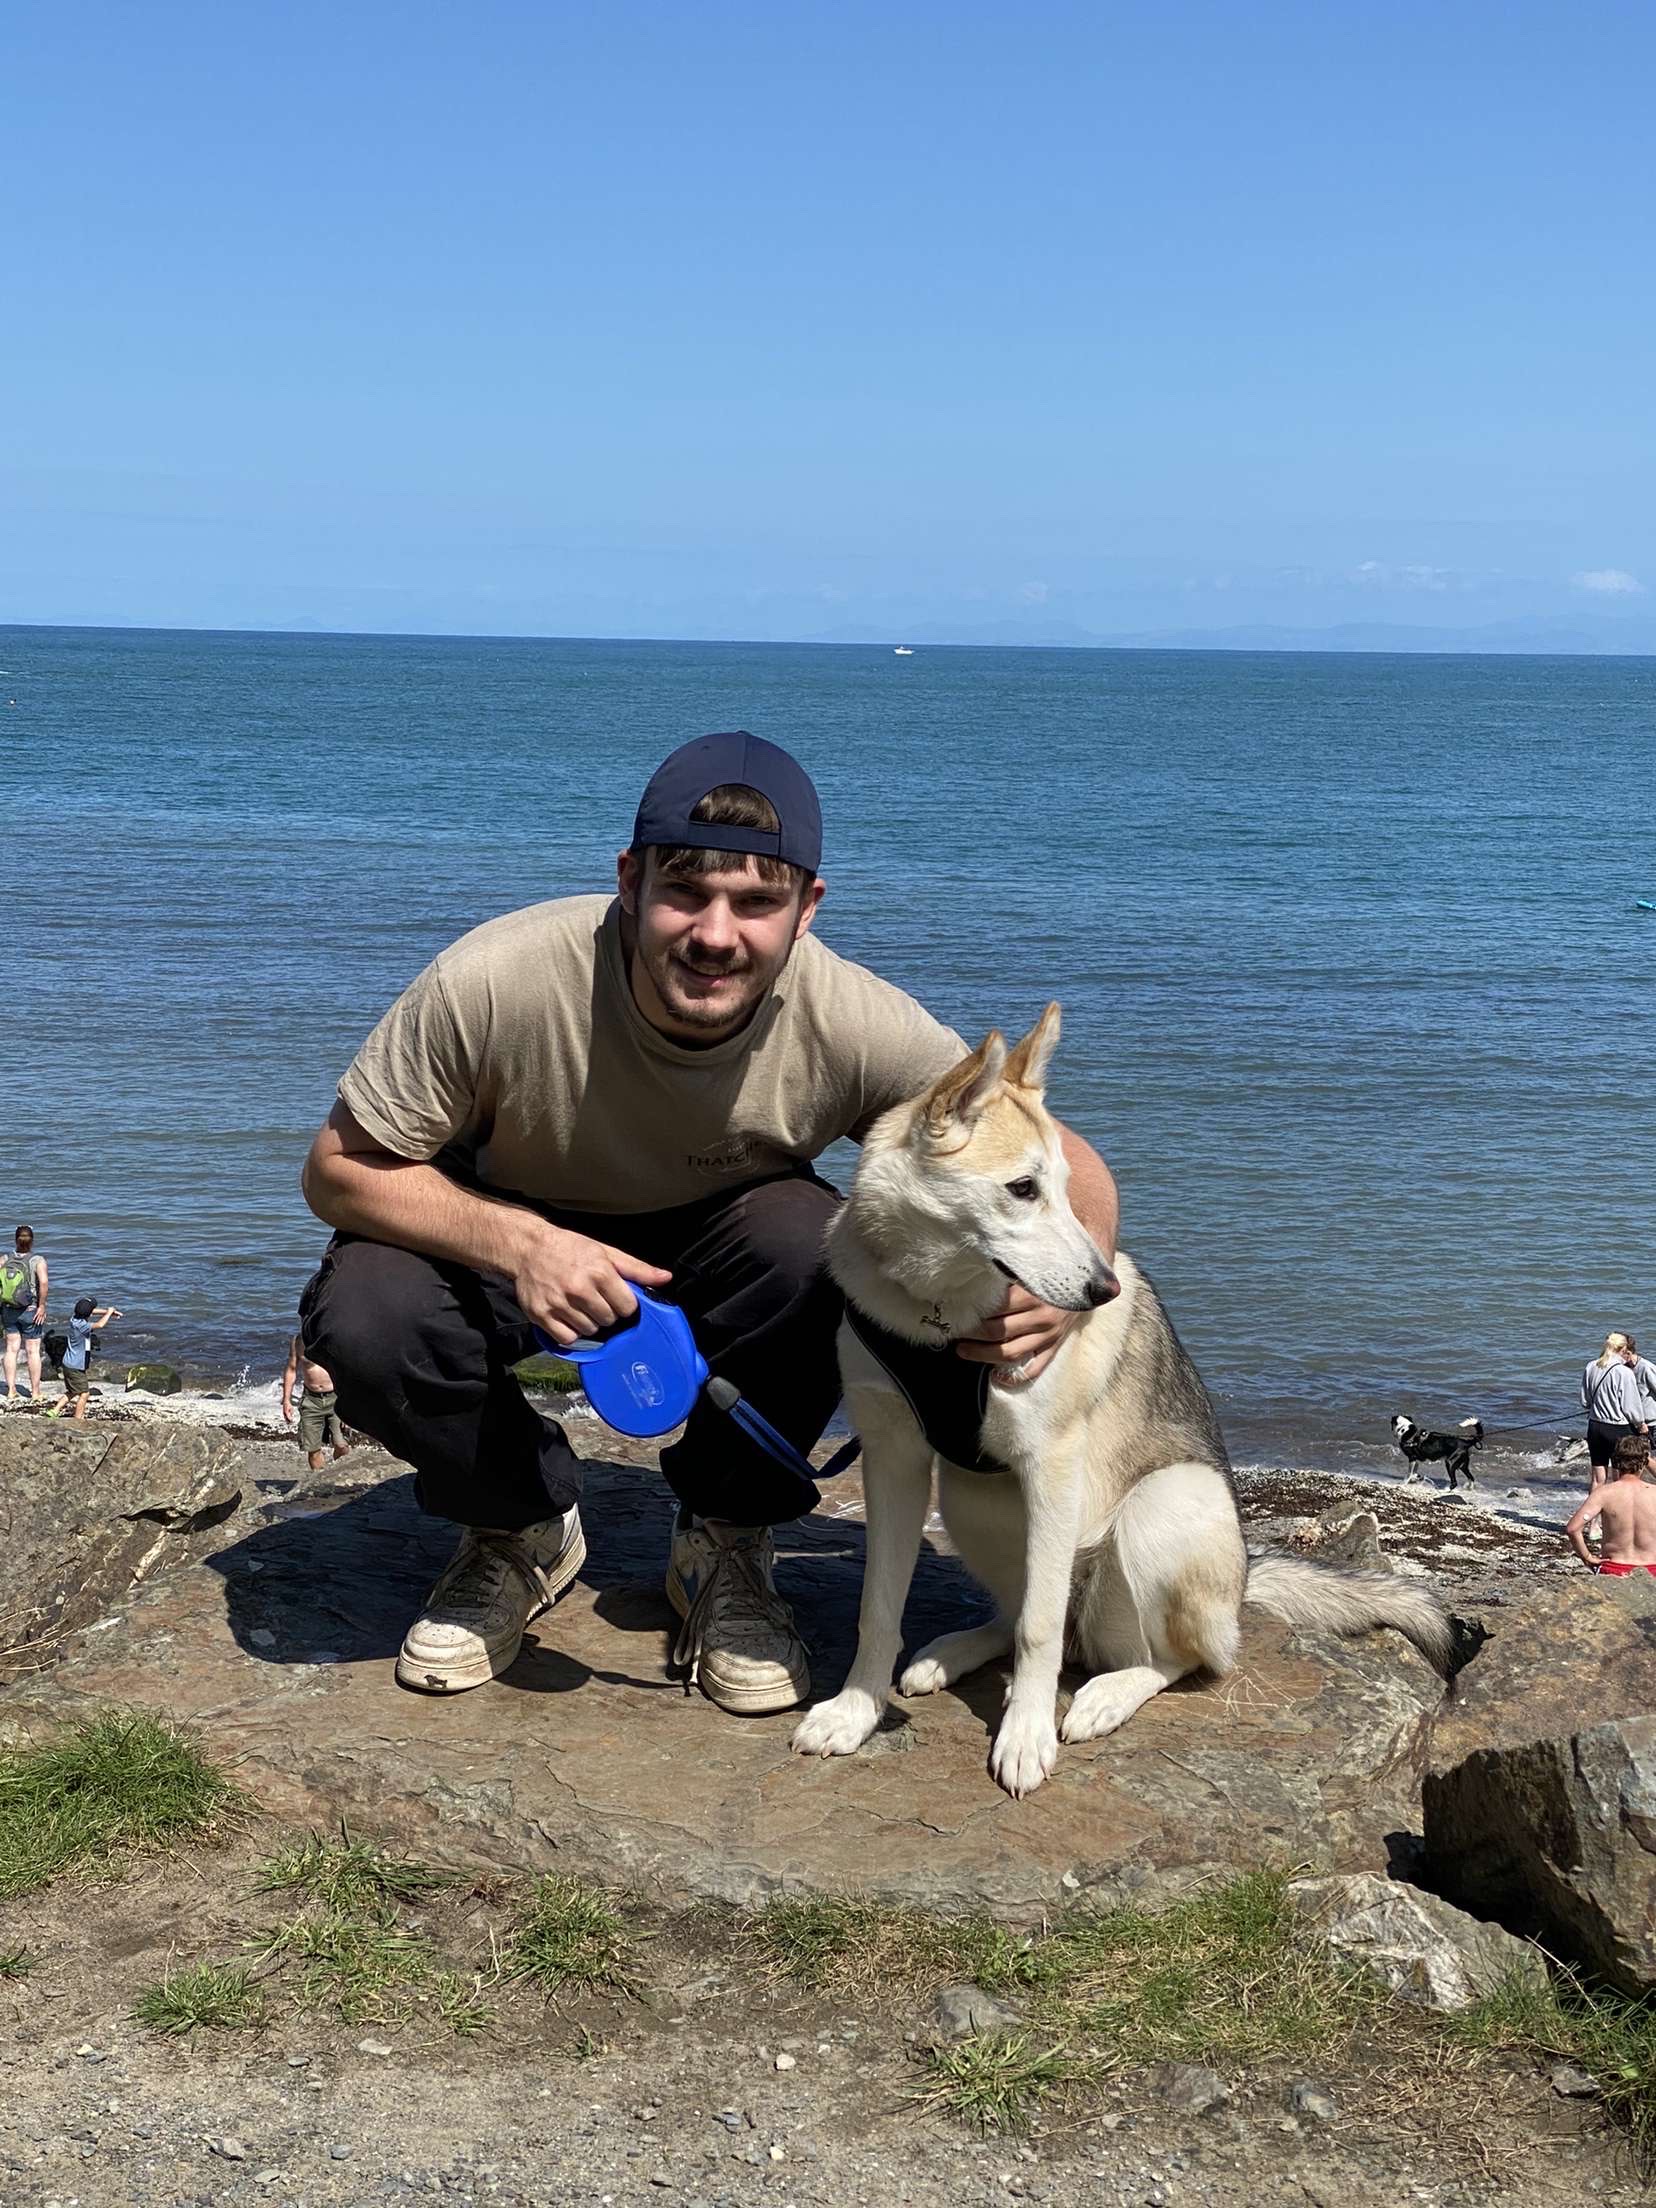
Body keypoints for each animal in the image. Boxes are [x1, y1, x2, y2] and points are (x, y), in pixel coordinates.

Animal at [790, 1002, 1448, 1792]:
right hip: (974, 1499)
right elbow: (879, 1605)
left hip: (1162, 1510)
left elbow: (1039, 1632)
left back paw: (1104, 1696)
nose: (1103, 1289)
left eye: (1066, 1185)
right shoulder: (893, 1460)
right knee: (1019, 1613)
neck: (938, 1314)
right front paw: (856, 1709)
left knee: (1174, 1658)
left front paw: (1024, 1735)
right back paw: (954, 1653)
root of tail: (1242, 1586)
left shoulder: (1049, 1464)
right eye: (1023, 1188)